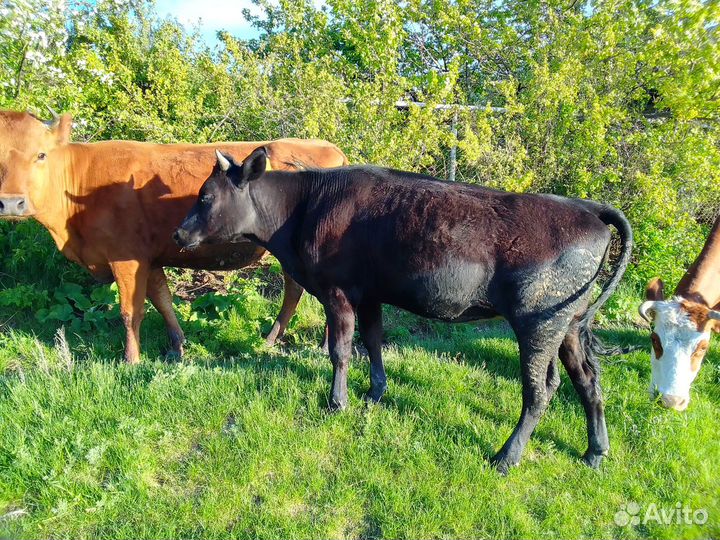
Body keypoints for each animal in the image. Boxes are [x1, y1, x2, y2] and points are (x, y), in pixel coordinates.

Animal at [0, 111, 347, 363]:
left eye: (41, 155)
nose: (11, 203)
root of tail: (330, 148)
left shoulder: (125, 258)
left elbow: (131, 311)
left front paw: (131, 359)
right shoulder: (149, 258)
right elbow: (163, 301)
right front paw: (177, 347)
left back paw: (321, 344)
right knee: (294, 290)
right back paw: (272, 338)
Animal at [175, 147, 633, 473]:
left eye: (205, 196)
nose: (179, 233)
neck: (304, 210)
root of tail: (587, 207)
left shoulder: (337, 290)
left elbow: (340, 350)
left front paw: (336, 402)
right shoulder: (370, 293)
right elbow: (373, 341)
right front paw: (375, 392)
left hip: (539, 323)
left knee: (541, 390)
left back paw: (507, 456)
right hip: (569, 324)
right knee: (588, 380)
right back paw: (596, 452)